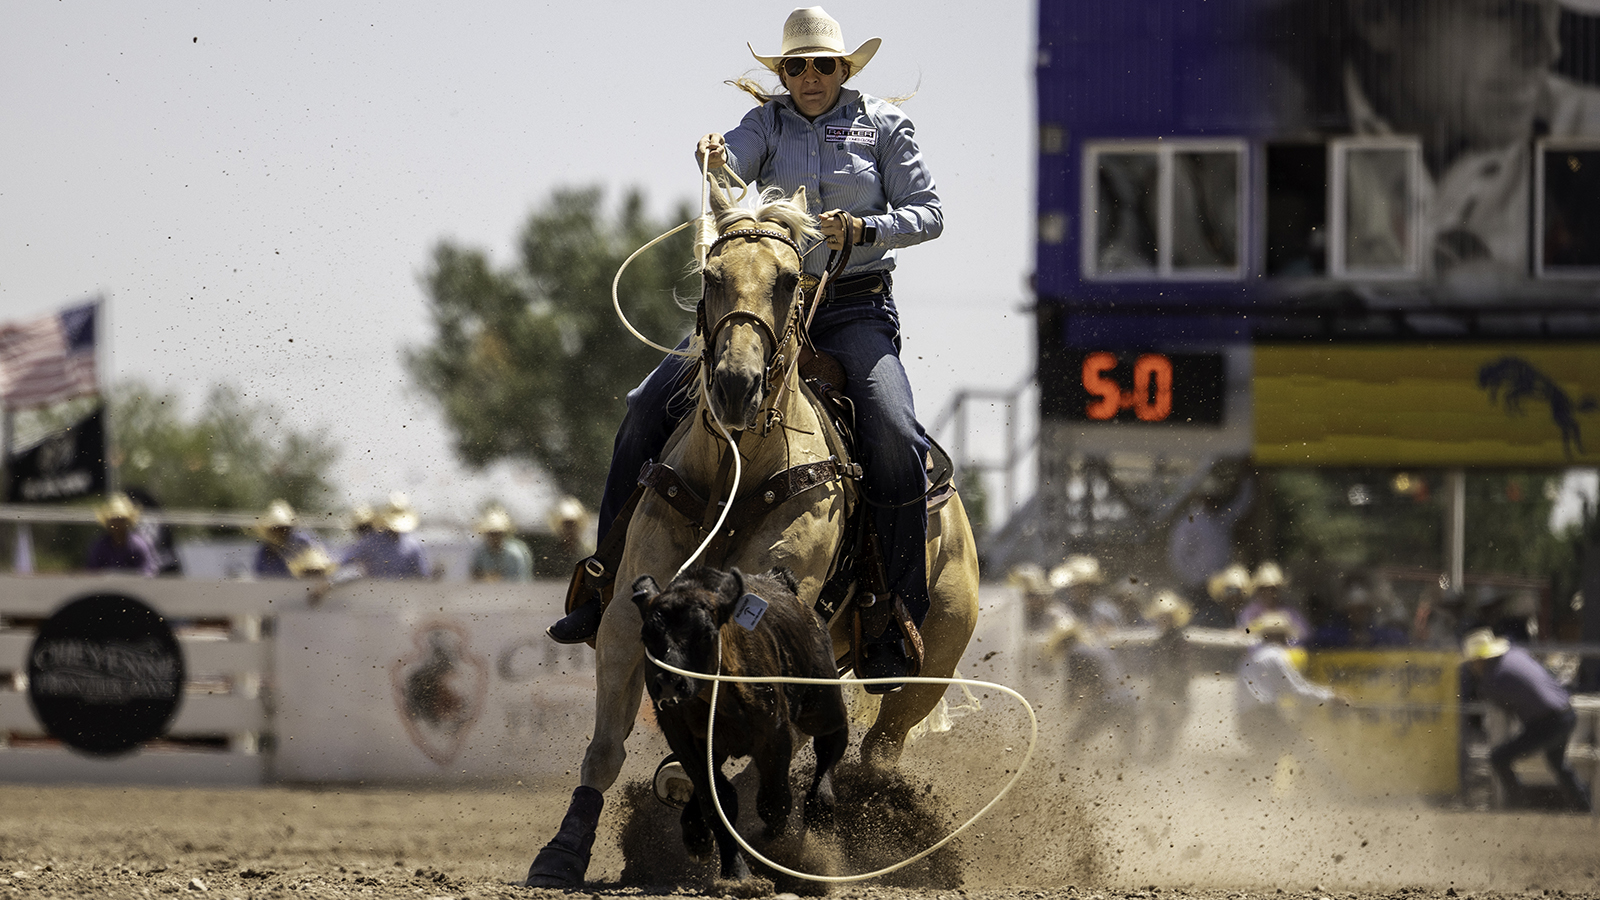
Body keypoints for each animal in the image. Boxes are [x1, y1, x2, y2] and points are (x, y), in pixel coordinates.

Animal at [528, 182, 972, 883]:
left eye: (789, 280)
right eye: (712, 276)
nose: (737, 386)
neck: (735, 472)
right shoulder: (628, 614)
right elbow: (605, 746)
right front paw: (563, 852)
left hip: (927, 672)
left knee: (877, 749)